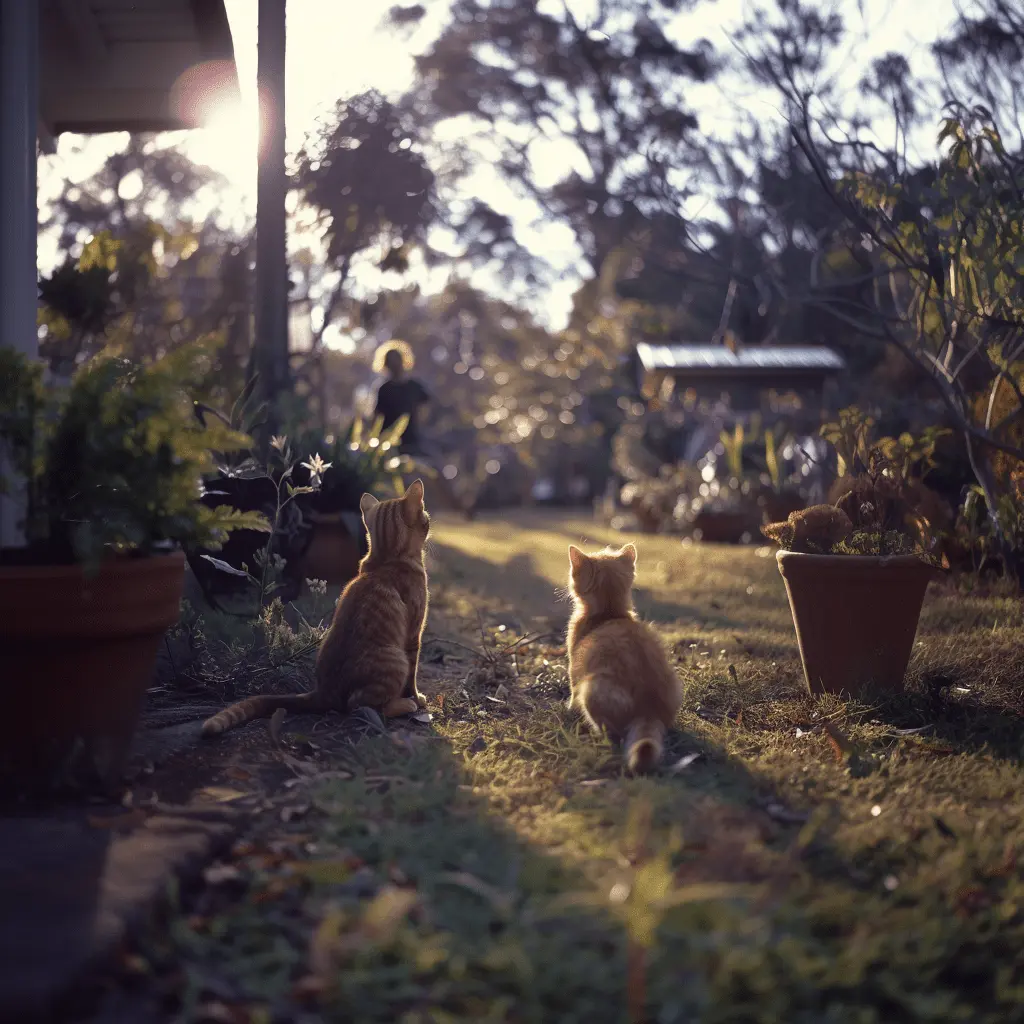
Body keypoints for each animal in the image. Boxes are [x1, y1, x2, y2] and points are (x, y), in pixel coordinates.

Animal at [201, 479, 430, 737]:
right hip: (396, 659)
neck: (387, 558)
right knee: (360, 705)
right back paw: (405, 704)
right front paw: (417, 698)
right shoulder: (414, 636)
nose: (428, 519)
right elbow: (413, 676)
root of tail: (322, 692)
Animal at [569, 544, 679, 770]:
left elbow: (572, 691)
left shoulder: (574, 665)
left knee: (613, 733)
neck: (609, 614)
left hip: (592, 689)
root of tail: (649, 710)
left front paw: (567, 709)